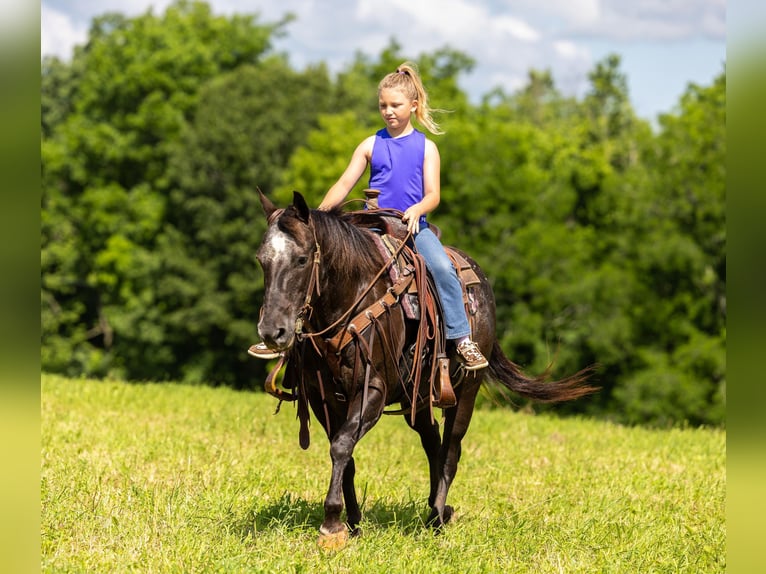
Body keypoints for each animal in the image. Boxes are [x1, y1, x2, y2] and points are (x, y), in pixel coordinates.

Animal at [255, 190, 596, 547]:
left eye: (301, 260)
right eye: (262, 261)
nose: (271, 331)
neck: (353, 297)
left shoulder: (373, 390)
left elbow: (342, 445)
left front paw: (332, 525)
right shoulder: (324, 399)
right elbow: (344, 454)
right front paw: (352, 523)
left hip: (466, 393)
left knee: (450, 452)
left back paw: (436, 518)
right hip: (418, 399)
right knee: (433, 444)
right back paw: (438, 510)